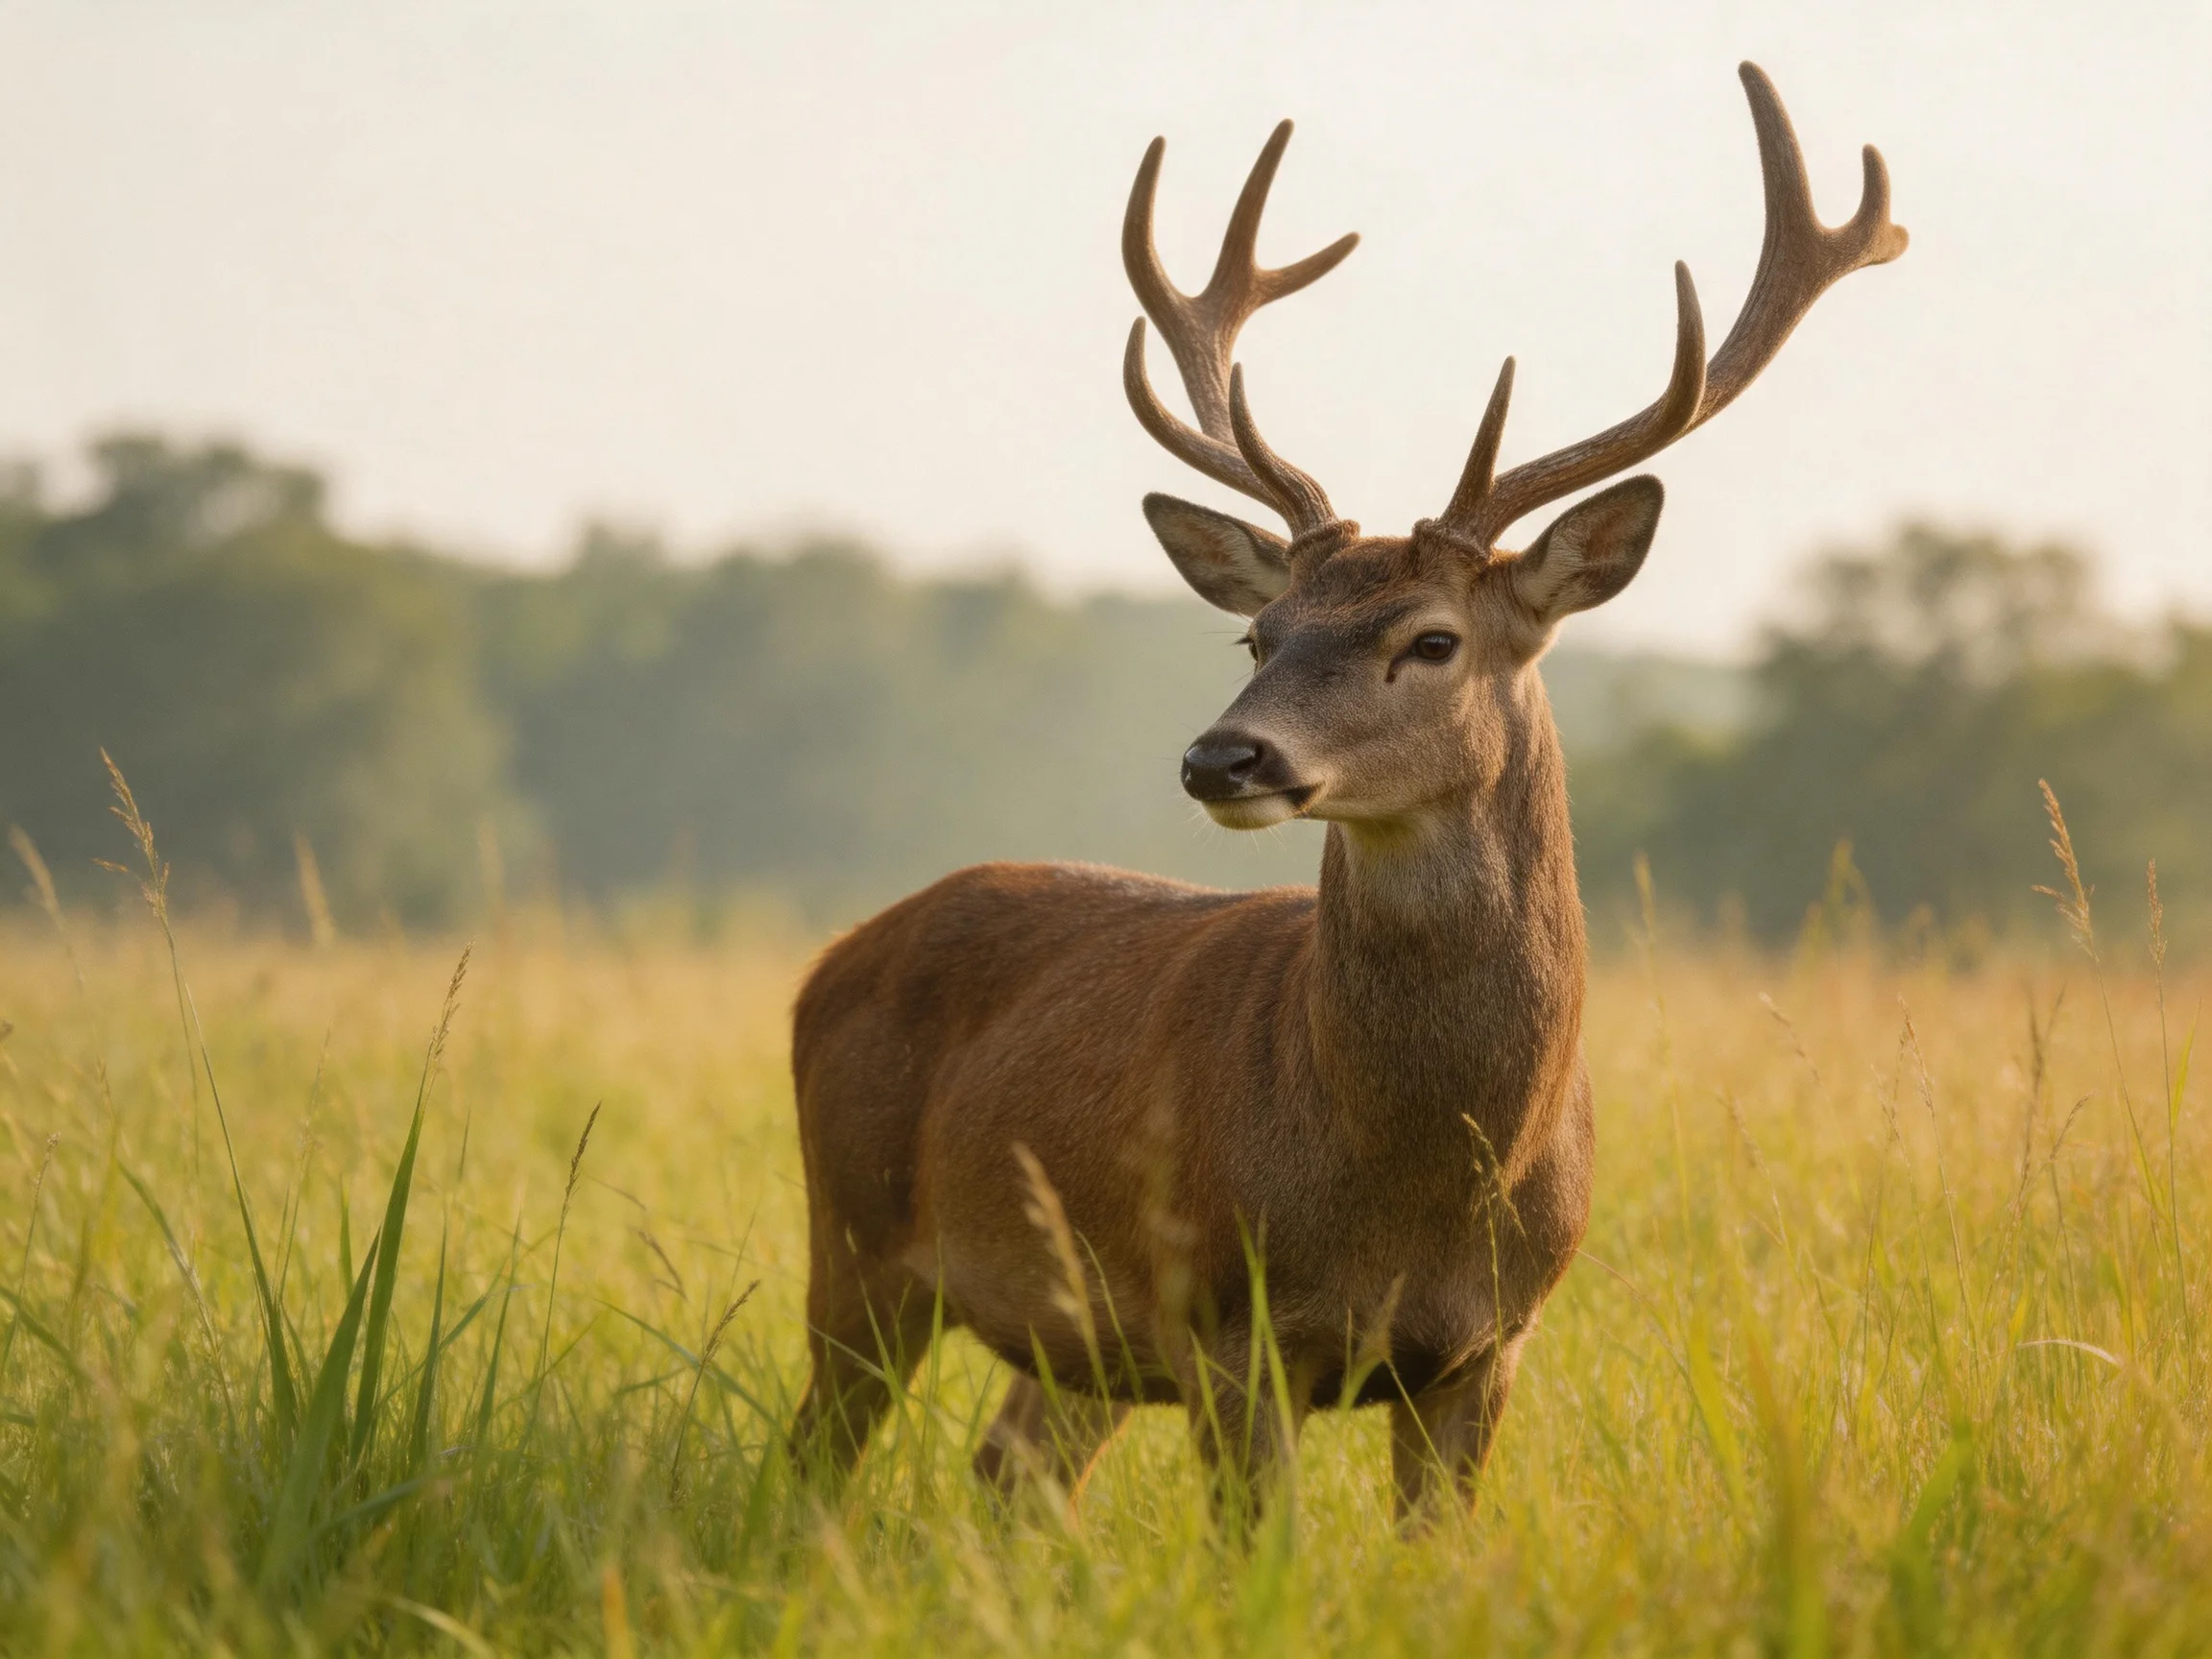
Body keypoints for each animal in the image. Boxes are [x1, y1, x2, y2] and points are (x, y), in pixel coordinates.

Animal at [788, 62, 1905, 1520]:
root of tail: (834, 958)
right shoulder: (1231, 1324)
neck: (1415, 1183)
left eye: (1430, 640)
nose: (1224, 759)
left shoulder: (1486, 1349)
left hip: (1073, 1345)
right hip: (855, 1236)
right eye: (1258, 638)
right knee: (816, 1454)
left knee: (1007, 1467)